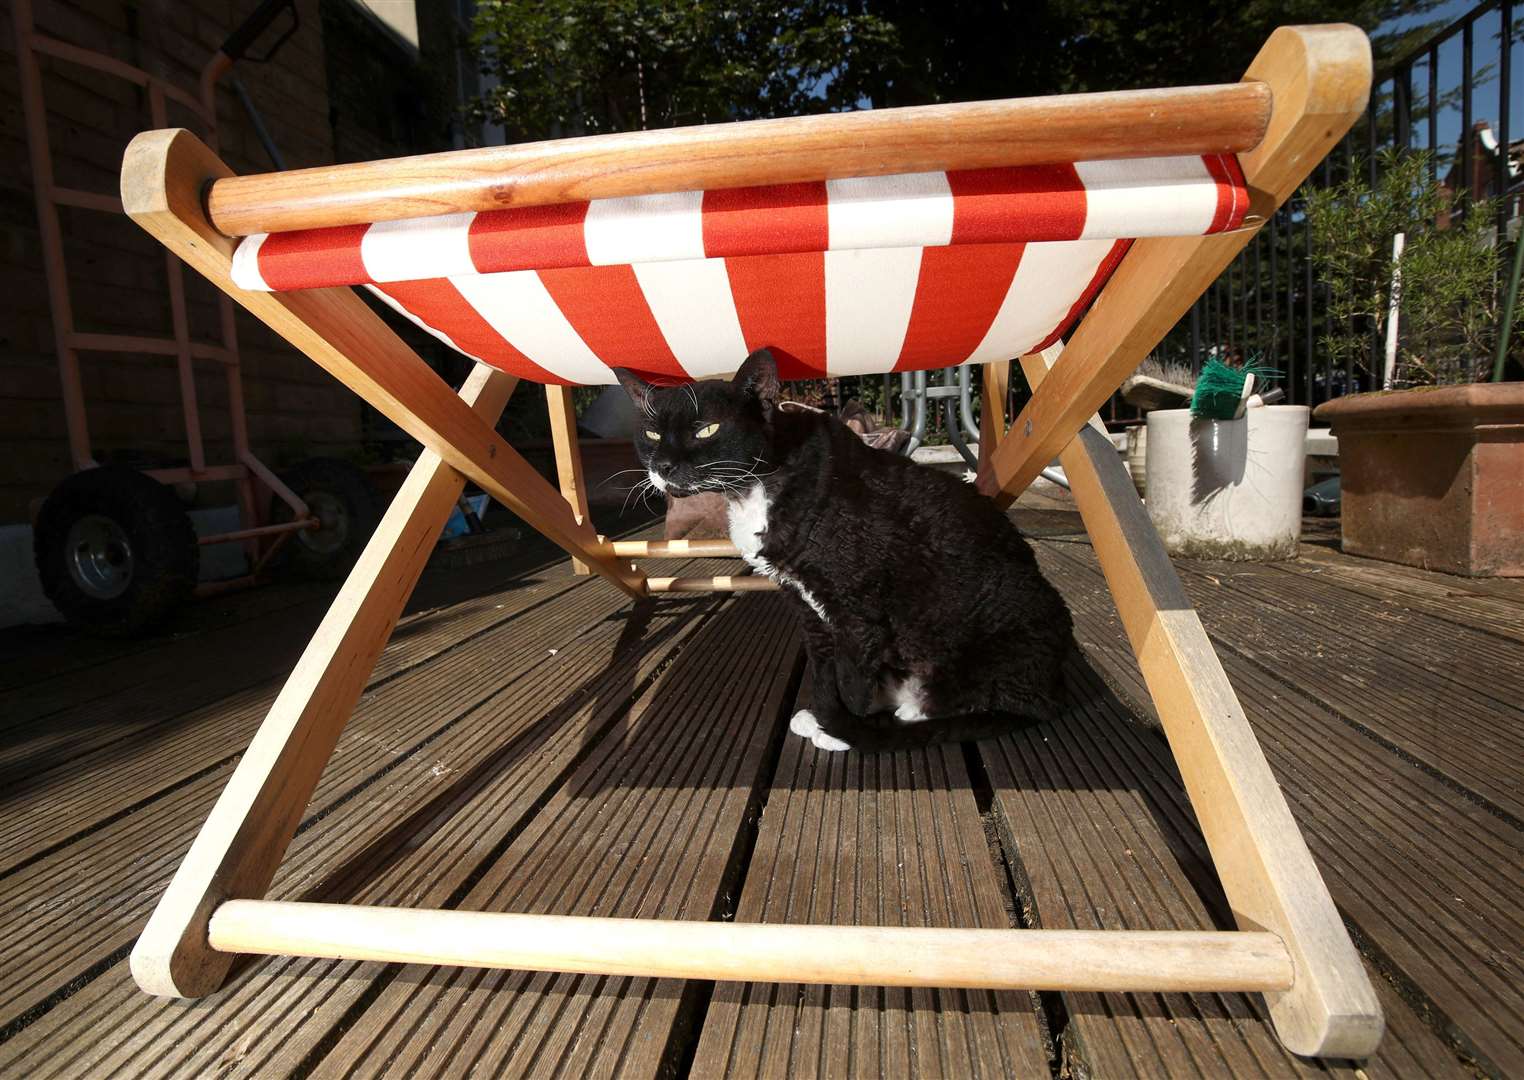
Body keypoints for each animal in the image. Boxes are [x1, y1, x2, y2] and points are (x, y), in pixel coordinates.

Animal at [612, 347, 1078, 749]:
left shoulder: (857, 610)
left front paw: (842, 730)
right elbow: (823, 669)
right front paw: (822, 712)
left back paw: (906, 712)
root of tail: (1052, 691)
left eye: (706, 429)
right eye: (651, 433)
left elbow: (852, 681)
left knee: (970, 700)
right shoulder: (807, 605)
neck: (753, 491)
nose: (663, 466)